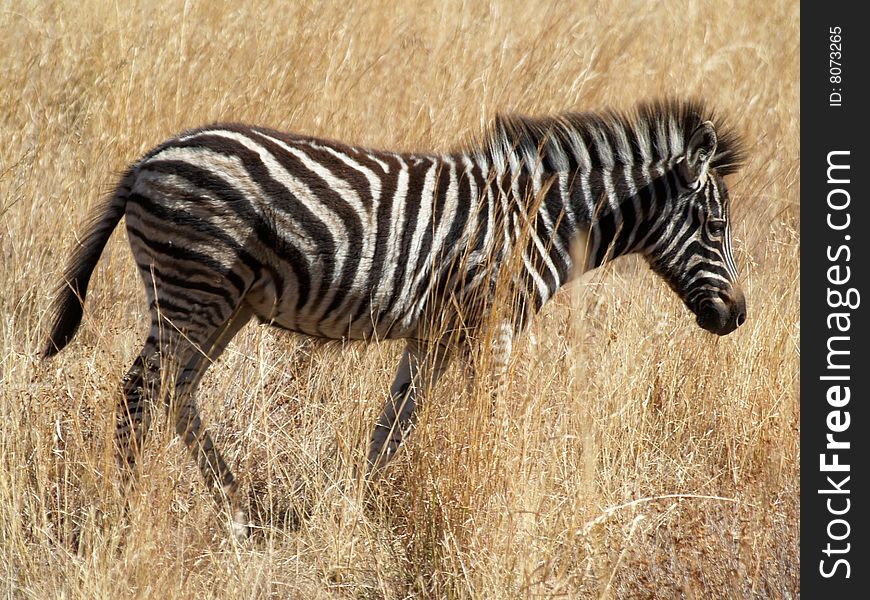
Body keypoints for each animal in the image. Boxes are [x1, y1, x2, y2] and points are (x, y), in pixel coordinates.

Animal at [44, 98, 744, 540]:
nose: (737, 316)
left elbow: (395, 423)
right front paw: (499, 499)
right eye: (715, 228)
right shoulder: (491, 324)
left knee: (177, 392)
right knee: (140, 391)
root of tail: (150, 158)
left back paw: (238, 513)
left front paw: (355, 511)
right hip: (195, 287)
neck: (539, 219)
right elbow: (490, 418)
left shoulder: (438, 334)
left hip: (225, 303)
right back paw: (122, 516)